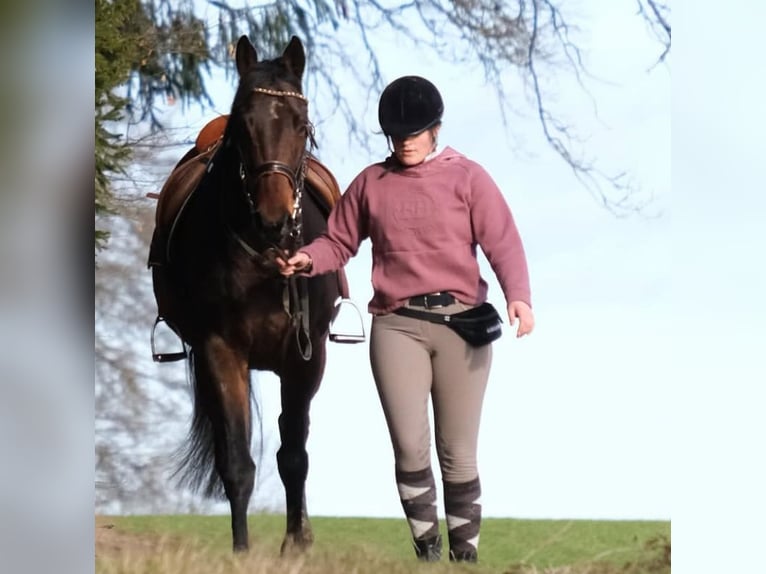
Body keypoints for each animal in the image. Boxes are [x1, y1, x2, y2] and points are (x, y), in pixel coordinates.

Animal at [148, 35, 340, 552]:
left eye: (301, 124)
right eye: (243, 125)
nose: (274, 218)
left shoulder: (306, 357)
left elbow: (294, 454)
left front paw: (295, 545)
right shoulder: (220, 350)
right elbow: (236, 460)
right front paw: (241, 550)